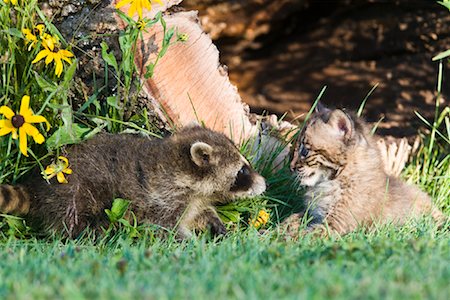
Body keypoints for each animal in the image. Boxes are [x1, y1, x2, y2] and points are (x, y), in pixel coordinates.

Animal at [0, 125, 266, 238]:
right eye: (243, 171)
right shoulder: (162, 199)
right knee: (73, 218)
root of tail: (38, 187)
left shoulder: (193, 201)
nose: (264, 184)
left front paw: (215, 222)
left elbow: (200, 214)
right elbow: (164, 228)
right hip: (74, 191)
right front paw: (192, 245)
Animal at [286, 103, 444, 237]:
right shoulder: (312, 213)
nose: (291, 167)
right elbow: (290, 219)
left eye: (305, 151)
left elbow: (302, 235)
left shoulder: (335, 224)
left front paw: (282, 241)